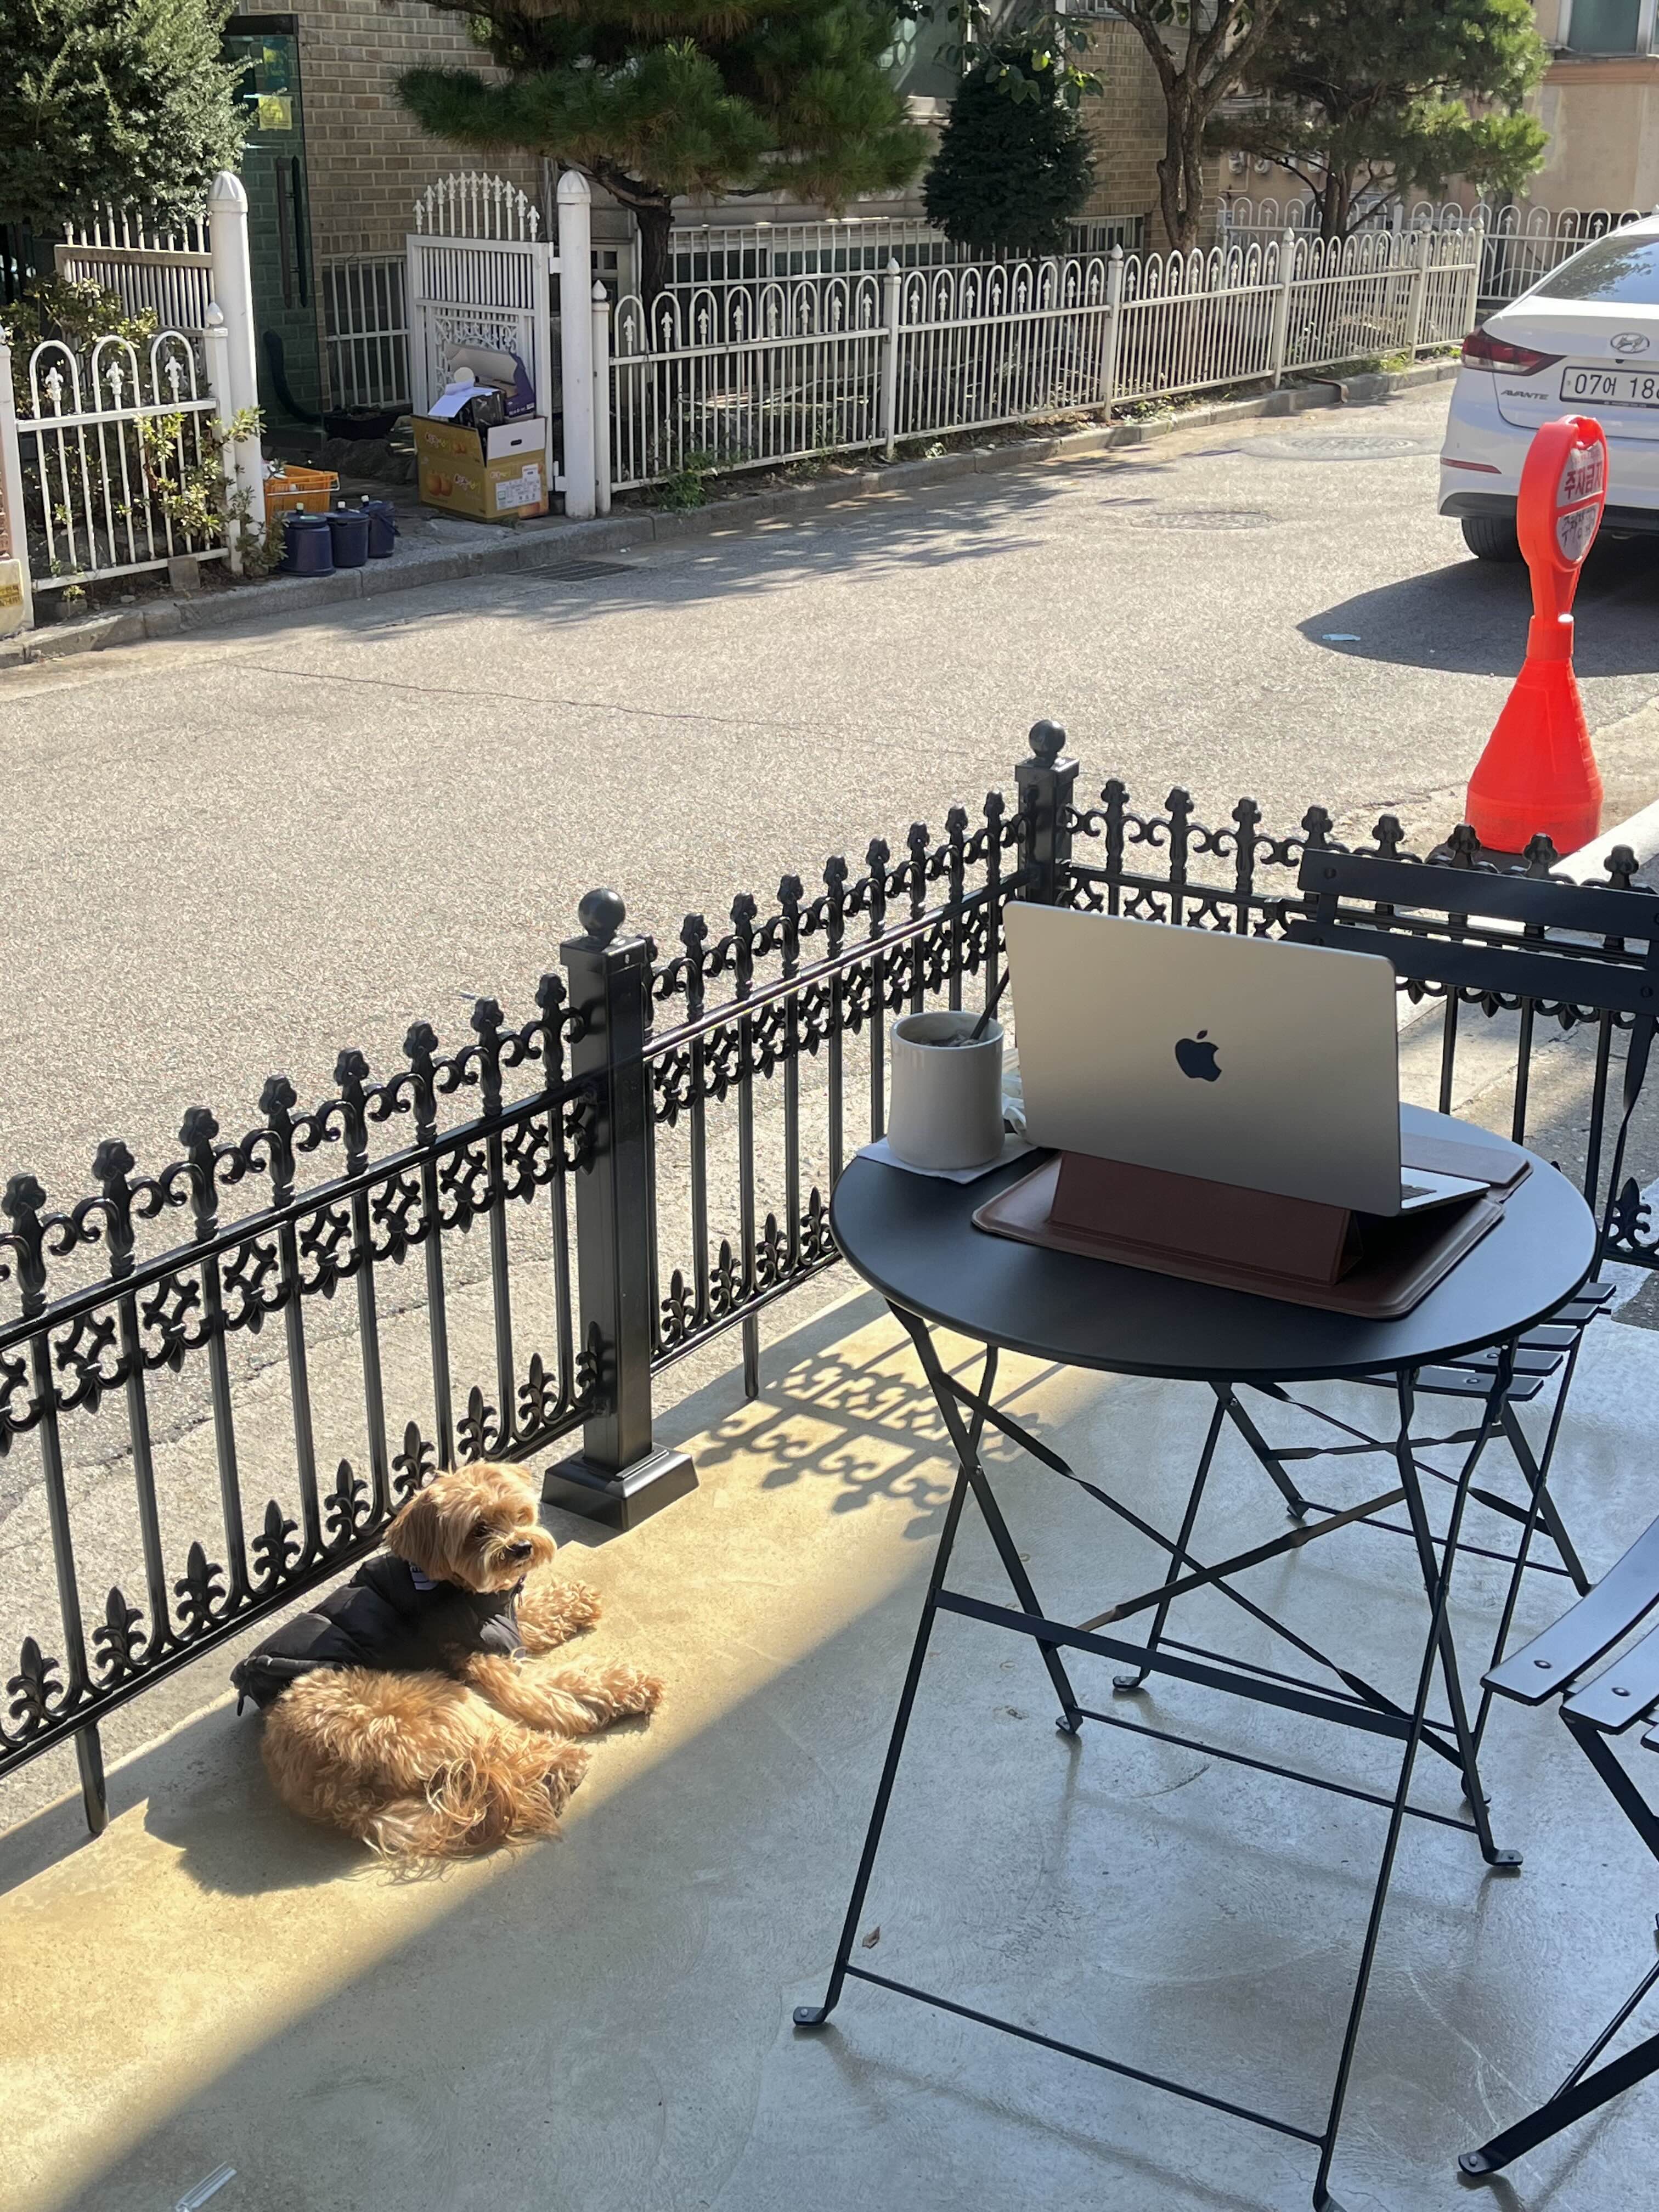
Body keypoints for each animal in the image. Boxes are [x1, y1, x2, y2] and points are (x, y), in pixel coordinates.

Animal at [231, 1462, 662, 1859]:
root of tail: (341, 1800)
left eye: (519, 1514)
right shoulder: (491, 1662)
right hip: (432, 1703)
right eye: (478, 1530)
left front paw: (573, 1601)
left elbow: (533, 1611)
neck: (450, 1585)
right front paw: (629, 1685)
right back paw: (556, 1766)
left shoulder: (503, 1620)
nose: (521, 1547)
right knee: (499, 1746)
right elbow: (560, 1689)